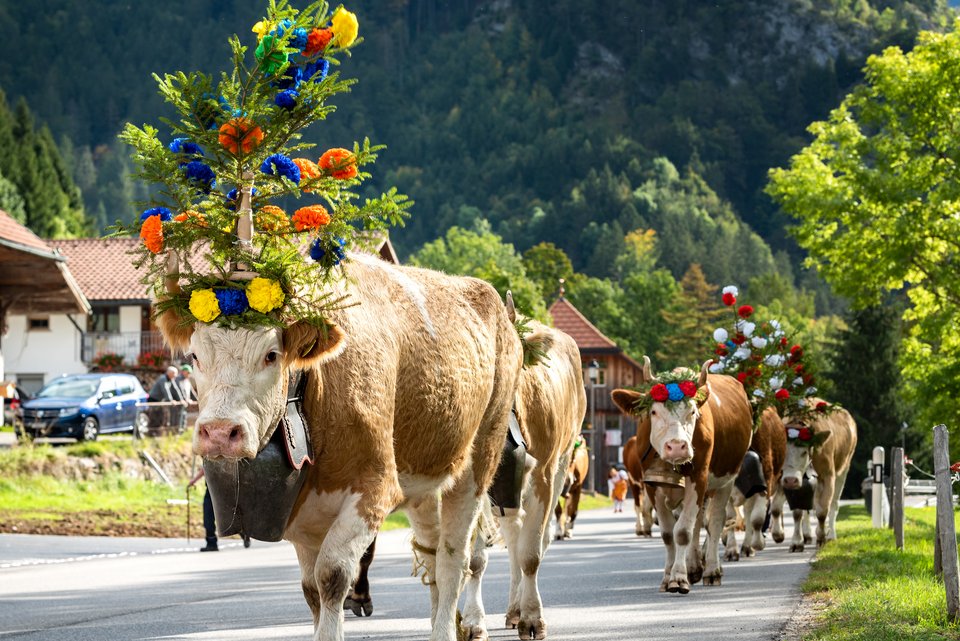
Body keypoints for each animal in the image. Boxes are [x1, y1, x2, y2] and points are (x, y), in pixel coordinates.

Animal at [158, 251, 520, 640]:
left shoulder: (374, 490)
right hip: (422, 483)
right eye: (194, 356)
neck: (312, 391)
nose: (220, 432)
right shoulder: (302, 515)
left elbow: (332, 576)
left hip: (478, 461)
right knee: (433, 552)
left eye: (271, 355)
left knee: (456, 558)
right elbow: (311, 590)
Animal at [612, 358, 752, 592]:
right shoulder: (651, 485)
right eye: (653, 412)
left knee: (715, 522)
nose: (677, 446)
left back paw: (712, 570)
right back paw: (694, 567)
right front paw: (668, 576)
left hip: (726, 480)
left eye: (693, 412)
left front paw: (678, 578)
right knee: (698, 522)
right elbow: (669, 534)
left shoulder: (699, 477)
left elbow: (683, 532)